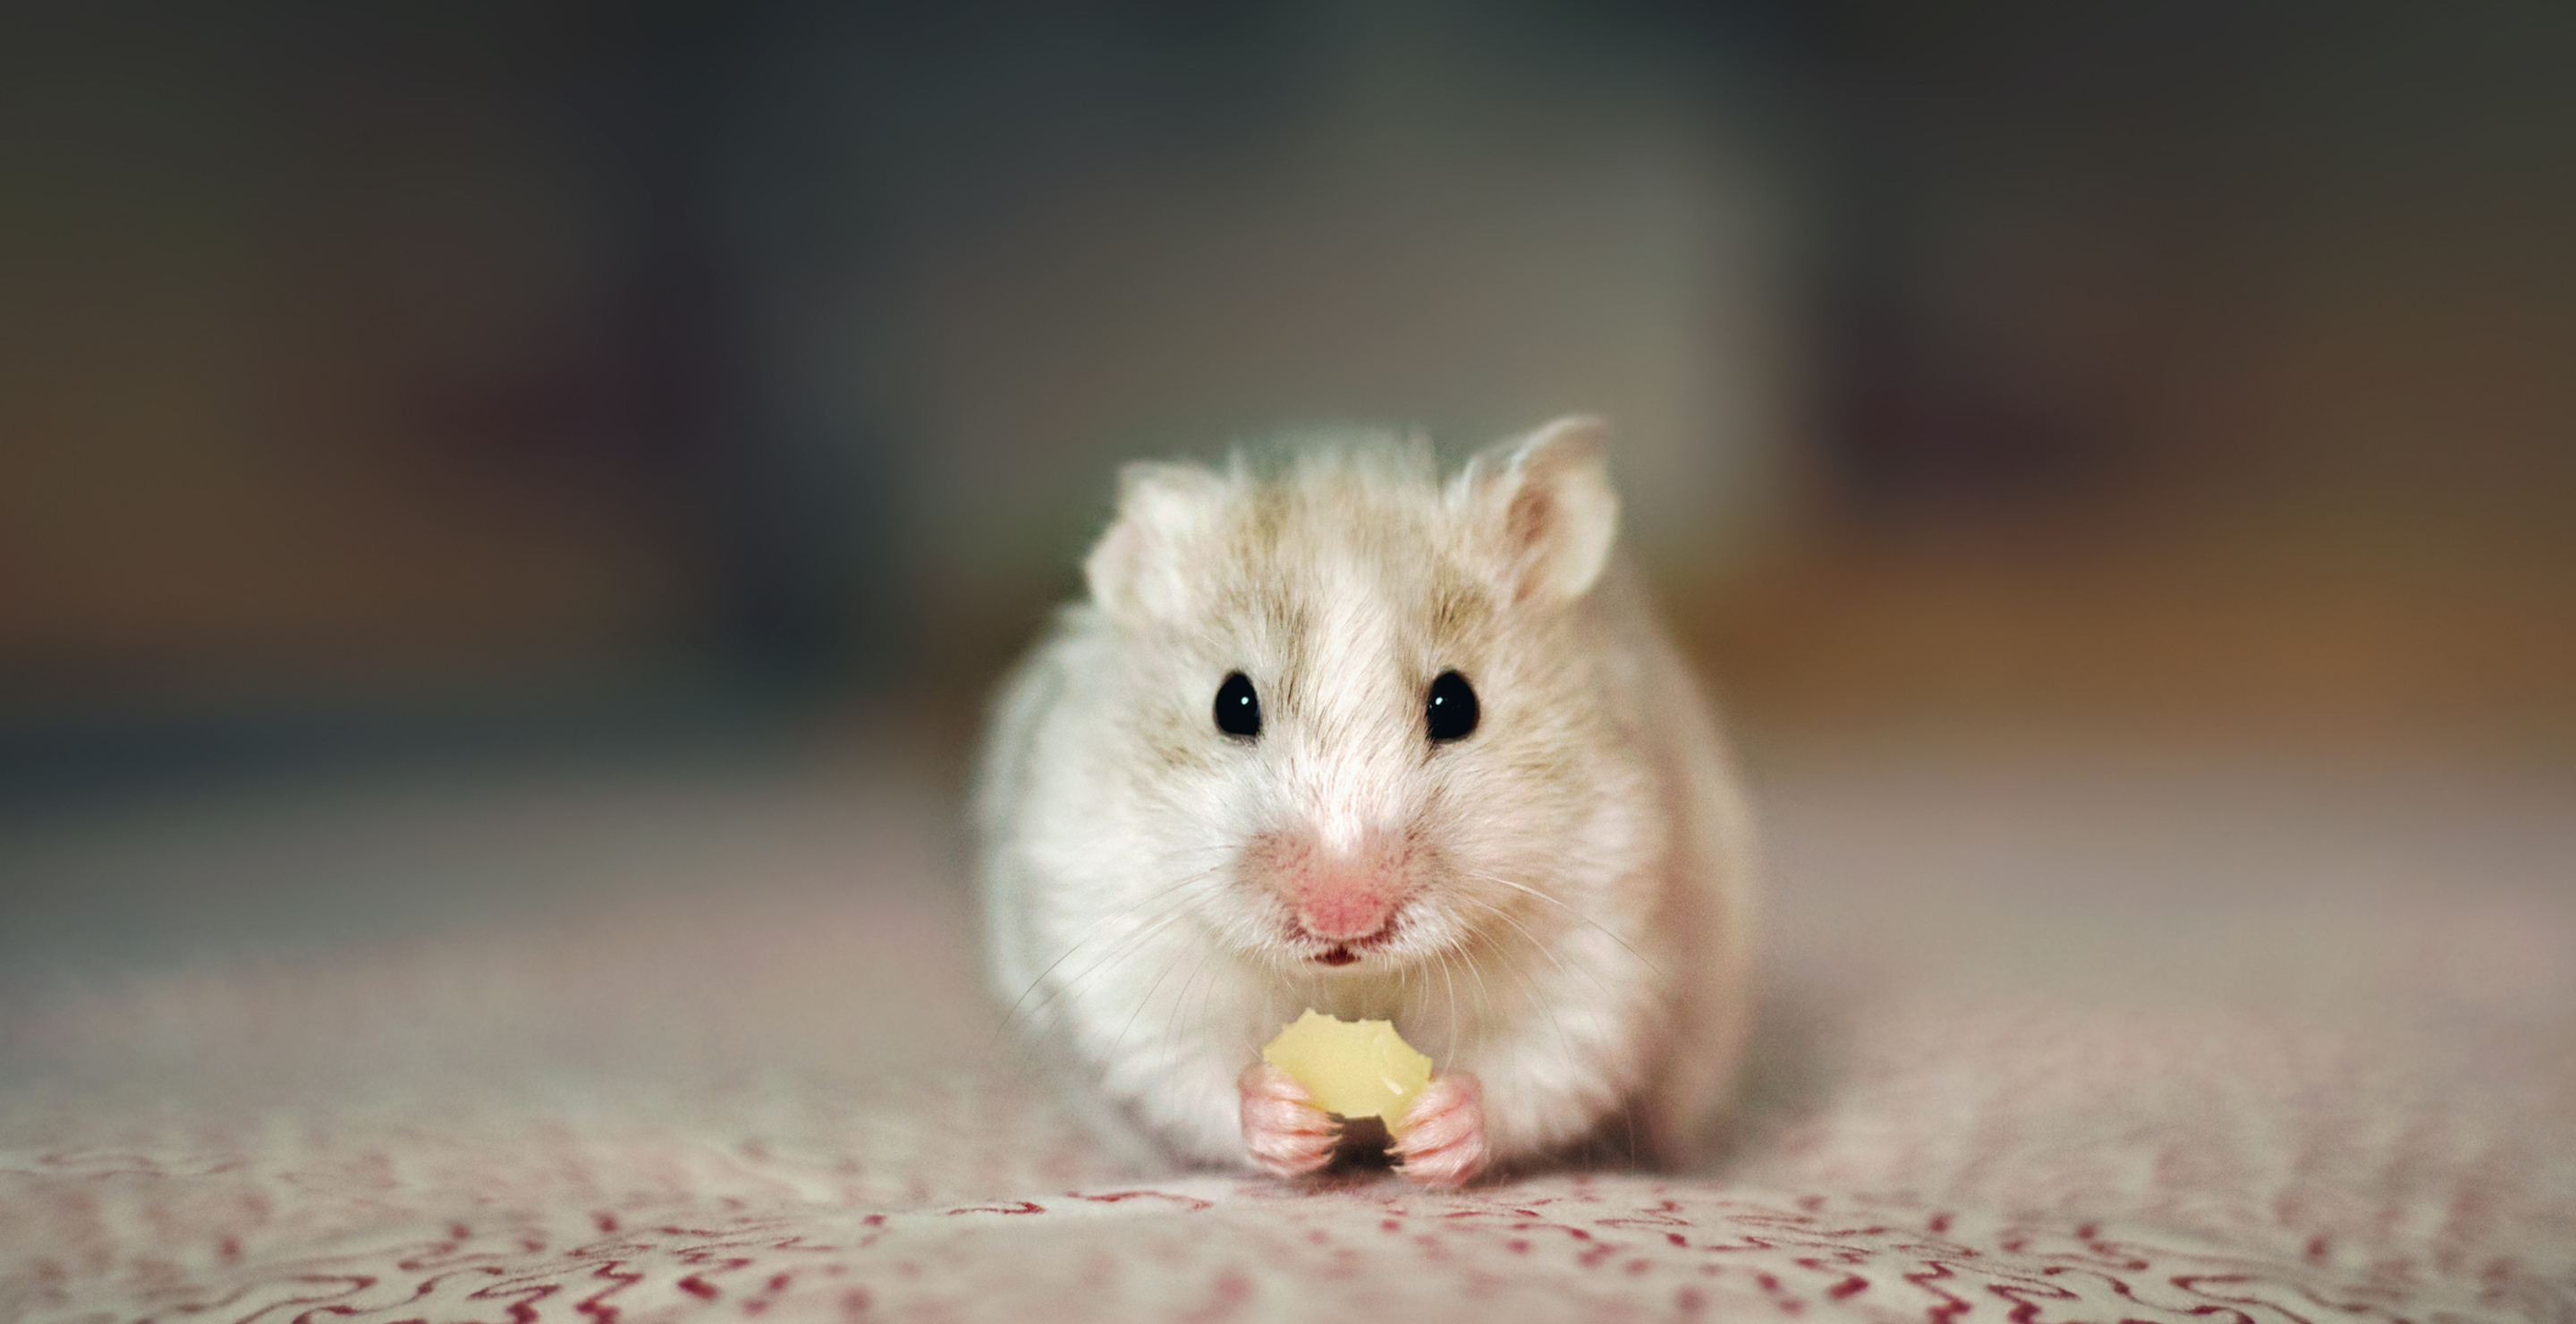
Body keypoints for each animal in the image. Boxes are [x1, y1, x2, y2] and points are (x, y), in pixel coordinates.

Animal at [973, 416, 1757, 1187]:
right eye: (1232, 703)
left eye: (1457, 704)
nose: (1341, 917)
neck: (1354, 987)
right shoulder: (1116, 942)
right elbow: (1193, 1072)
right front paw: (1290, 1123)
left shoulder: (1603, 948)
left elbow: (1533, 1070)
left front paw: (1435, 1131)